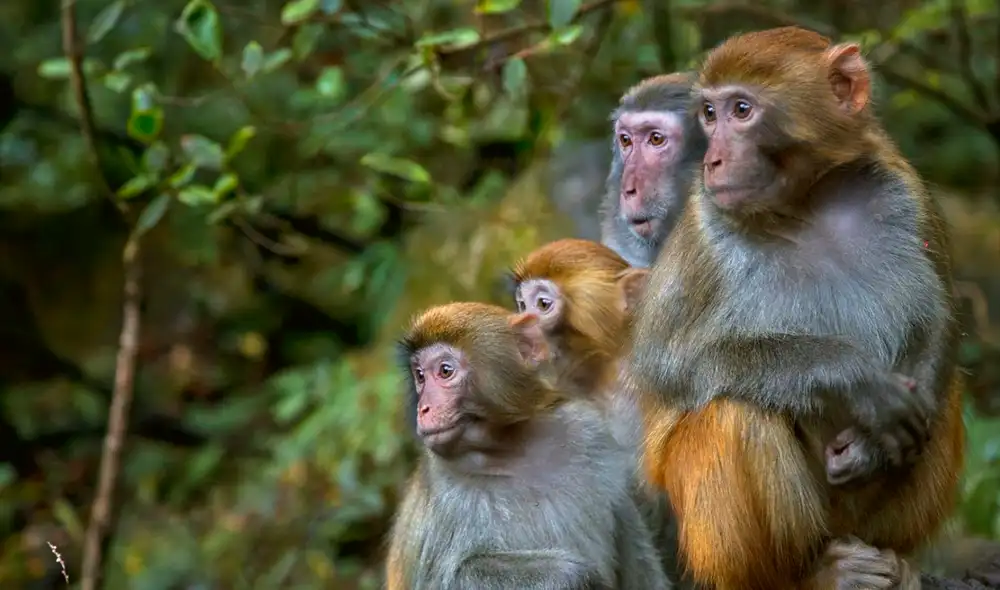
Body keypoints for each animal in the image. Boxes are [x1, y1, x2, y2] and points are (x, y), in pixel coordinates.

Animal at [384, 302, 672, 590]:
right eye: (420, 376)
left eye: (445, 371)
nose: (423, 408)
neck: (509, 448)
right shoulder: (444, 490)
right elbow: (447, 578)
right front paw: (572, 575)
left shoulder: (591, 435)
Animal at [623, 26, 966, 590]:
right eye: (709, 114)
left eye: (741, 110)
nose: (713, 160)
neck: (805, 203)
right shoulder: (701, 227)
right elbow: (668, 364)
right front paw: (852, 377)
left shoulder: (905, 189)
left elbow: (939, 322)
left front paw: (872, 445)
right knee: (734, 408)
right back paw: (807, 574)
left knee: (944, 392)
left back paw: (894, 559)